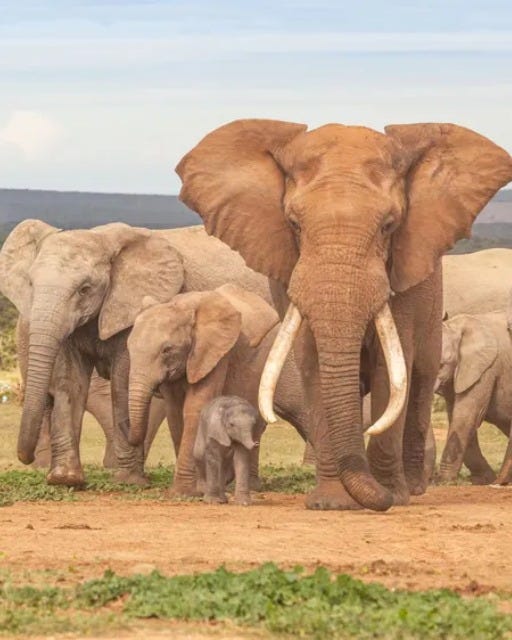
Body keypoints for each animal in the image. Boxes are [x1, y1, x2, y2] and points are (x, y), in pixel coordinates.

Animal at [0, 220, 184, 485]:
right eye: (31, 285)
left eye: (85, 289)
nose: (25, 457)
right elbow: (70, 381)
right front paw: (65, 479)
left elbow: (123, 380)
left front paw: (128, 481)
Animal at [127, 284, 309, 495]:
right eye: (128, 348)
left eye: (167, 350)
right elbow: (174, 412)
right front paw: (194, 488)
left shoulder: (215, 351)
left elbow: (195, 407)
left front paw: (185, 492)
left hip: (262, 356)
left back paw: (243, 484)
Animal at [435, 311, 512, 485]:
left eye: (441, 365)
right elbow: (457, 417)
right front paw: (483, 480)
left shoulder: (485, 369)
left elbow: (466, 417)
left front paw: (444, 482)